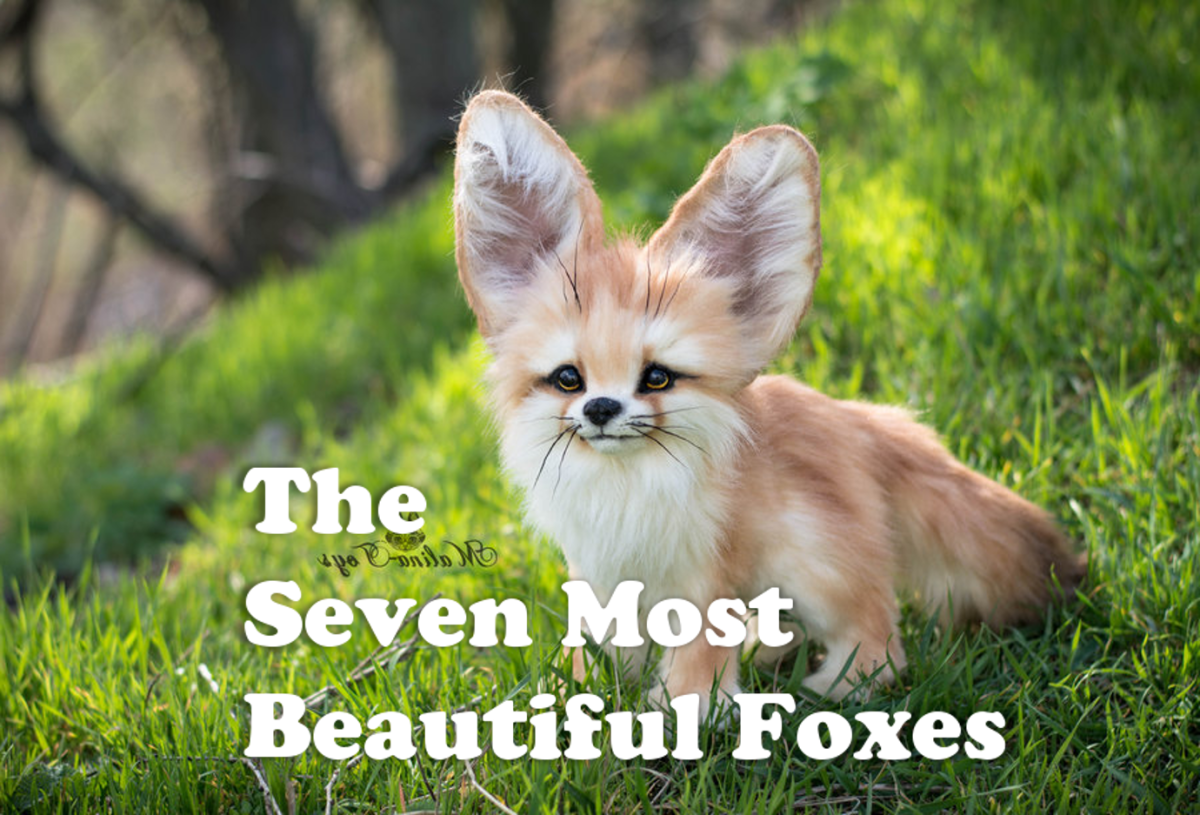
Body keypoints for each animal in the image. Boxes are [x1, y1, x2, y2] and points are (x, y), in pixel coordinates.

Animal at [451, 90, 1084, 713]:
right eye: (568, 379)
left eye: (656, 378)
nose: (601, 409)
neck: (627, 494)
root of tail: (864, 421)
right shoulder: (599, 582)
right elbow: (594, 655)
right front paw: (571, 697)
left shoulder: (705, 580)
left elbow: (696, 665)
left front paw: (681, 715)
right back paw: (768, 653)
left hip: (820, 573)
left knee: (879, 637)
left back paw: (832, 688)